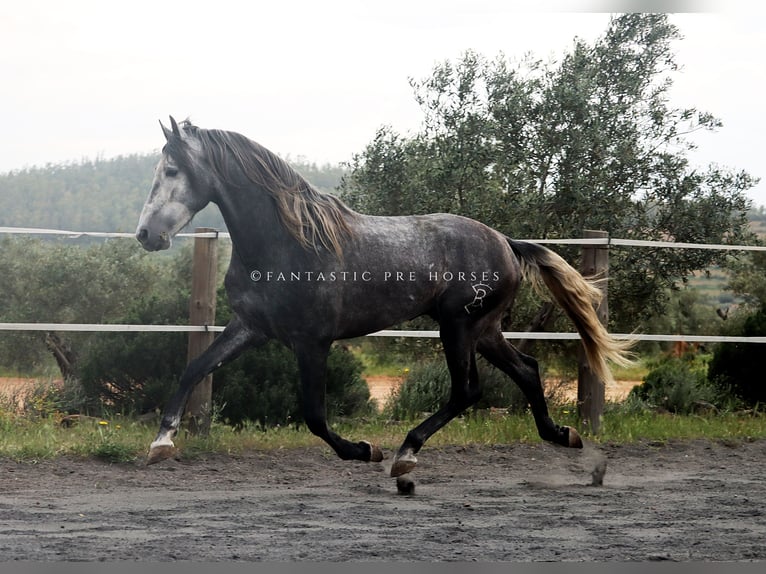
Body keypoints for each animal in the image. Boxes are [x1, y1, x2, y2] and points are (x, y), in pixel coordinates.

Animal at [136, 116, 633, 477]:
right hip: (484, 328)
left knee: (467, 389)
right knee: (527, 370)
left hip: (458, 326)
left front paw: (364, 449)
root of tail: (507, 242)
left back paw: (406, 453)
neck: (288, 241)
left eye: (173, 170)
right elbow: (194, 369)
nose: (146, 235)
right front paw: (161, 442)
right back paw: (563, 434)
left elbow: (314, 414)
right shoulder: (251, 327)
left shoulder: (312, 341)